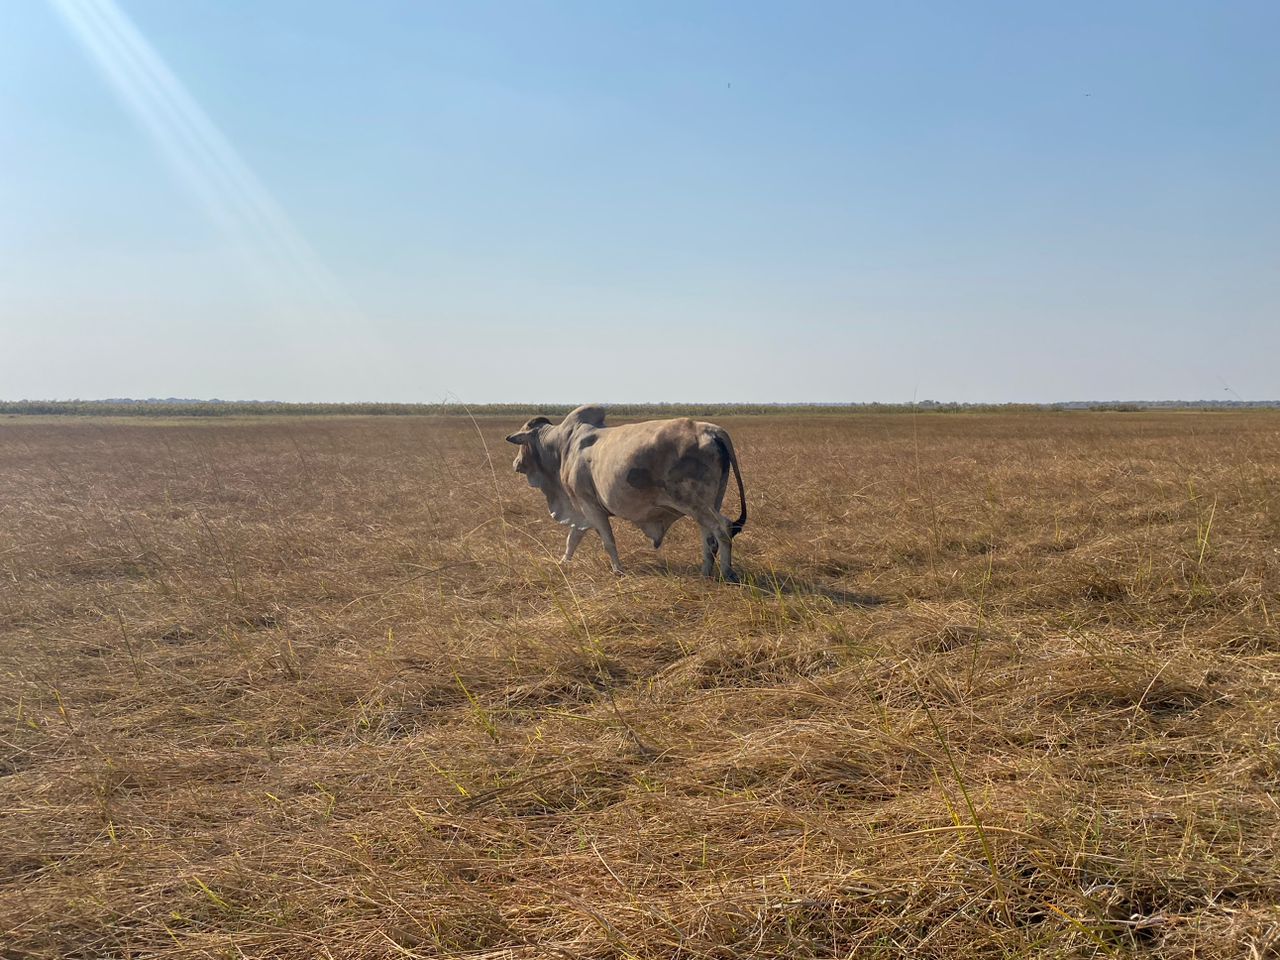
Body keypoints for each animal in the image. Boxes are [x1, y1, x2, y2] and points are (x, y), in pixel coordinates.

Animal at [505, 405, 747, 581]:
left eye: (521, 443)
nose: (515, 463)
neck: (563, 446)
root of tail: (712, 430)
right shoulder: (583, 512)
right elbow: (572, 539)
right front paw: (563, 562)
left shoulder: (589, 505)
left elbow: (607, 541)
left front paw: (618, 570)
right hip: (709, 503)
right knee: (708, 536)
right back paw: (705, 573)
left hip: (696, 503)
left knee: (723, 529)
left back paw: (728, 573)